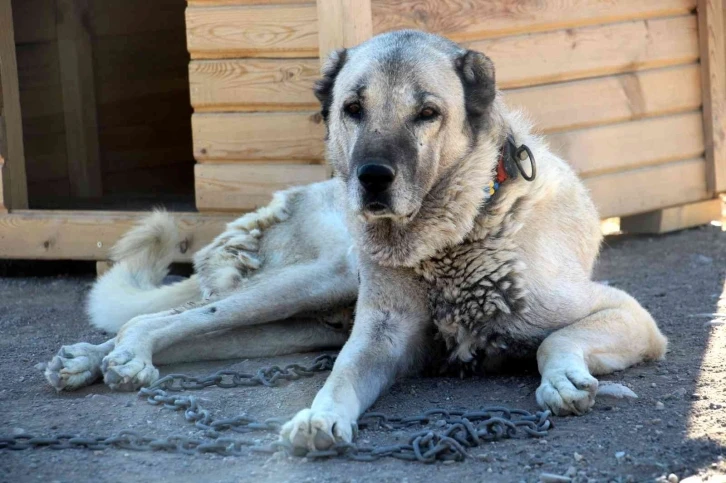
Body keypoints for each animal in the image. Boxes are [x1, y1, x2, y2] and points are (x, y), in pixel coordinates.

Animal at [45, 30, 668, 454]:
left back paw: (98, 360)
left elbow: (553, 341)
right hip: (315, 281)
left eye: (427, 113)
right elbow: (342, 375)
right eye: (353, 109)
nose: (371, 178)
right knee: (167, 318)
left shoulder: (627, 314)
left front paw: (563, 379)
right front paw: (320, 418)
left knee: (193, 331)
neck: (462, 230)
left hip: (287, 324)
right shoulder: (379, 342)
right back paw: (113, 356)